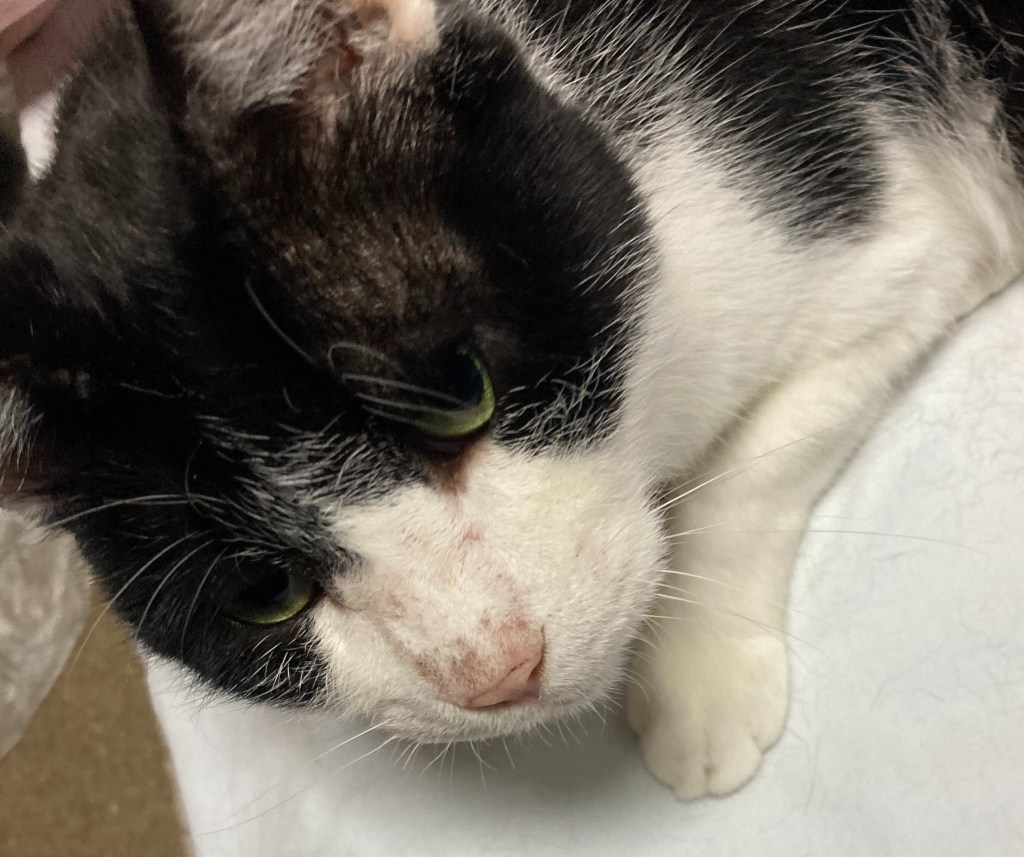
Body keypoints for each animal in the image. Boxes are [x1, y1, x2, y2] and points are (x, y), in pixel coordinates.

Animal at [1, 0, 1022, 801]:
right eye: (264, 589)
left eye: (460, 393)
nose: (497, 669)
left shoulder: (886, 217)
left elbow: (755, 464)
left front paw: (699, 677)